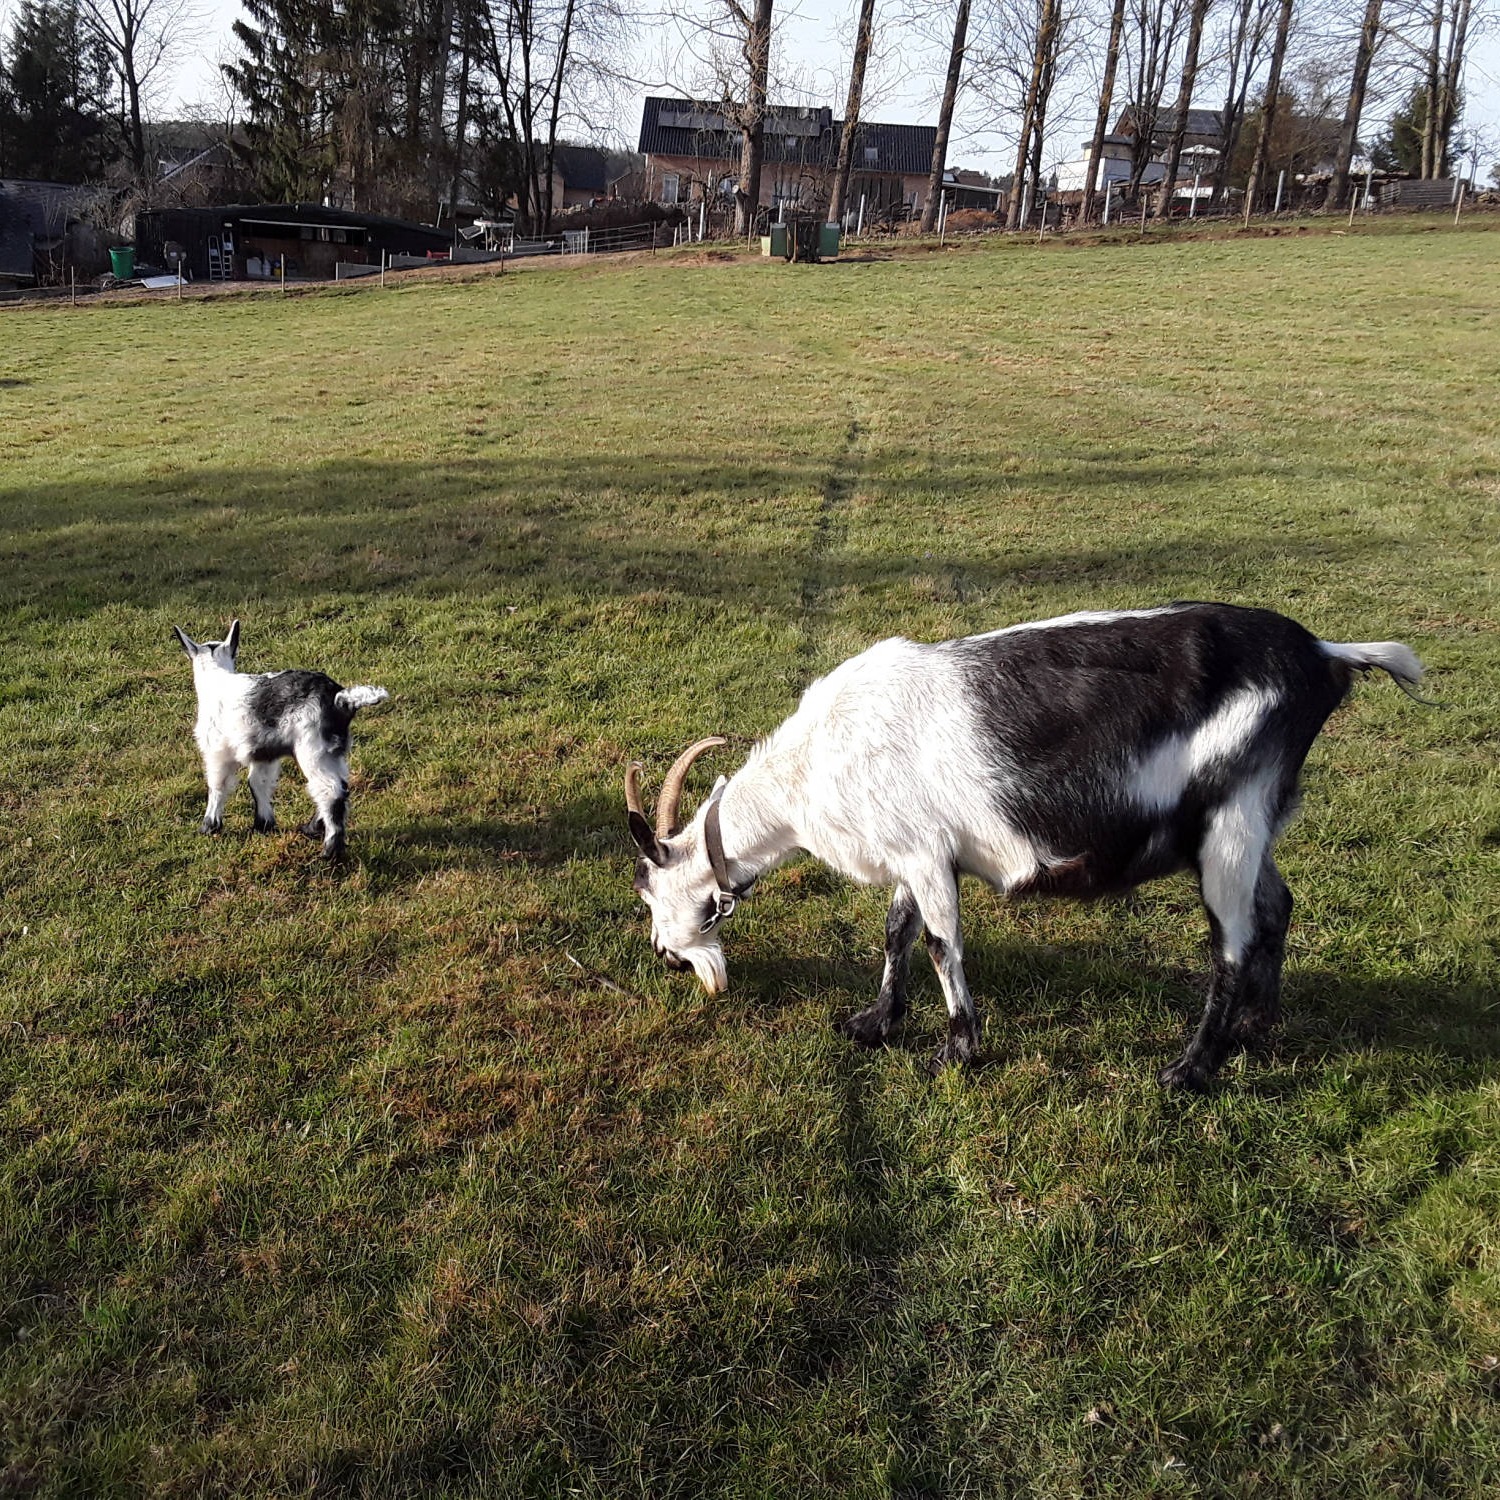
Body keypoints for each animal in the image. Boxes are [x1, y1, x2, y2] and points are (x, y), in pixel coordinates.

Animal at [627, 606, 1422, 1092]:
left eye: (650, 891)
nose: (666, 957)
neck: (815, 765)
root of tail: (1324, 655)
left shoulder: (925, 855)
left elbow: (941, 943)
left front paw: (957, 1051)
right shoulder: (912, 852)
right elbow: (897, 930)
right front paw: (874, 1024)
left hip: (1232, 819)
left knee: (1231, 939)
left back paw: (1191, 1071)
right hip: (1256, 819)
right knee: (1277, 905)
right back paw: (1259, 1026)